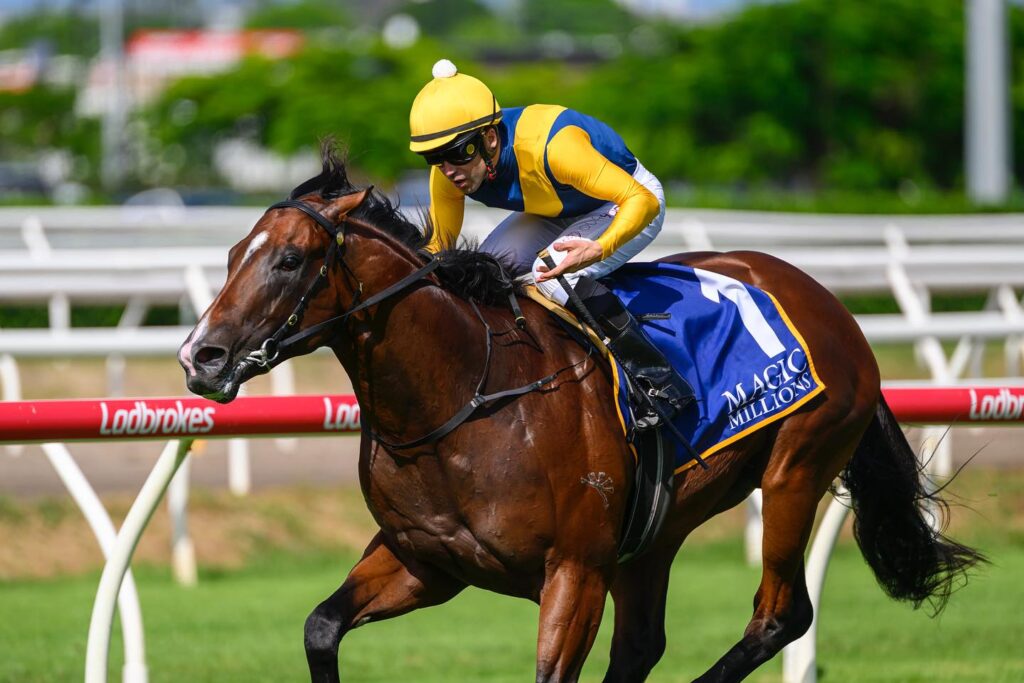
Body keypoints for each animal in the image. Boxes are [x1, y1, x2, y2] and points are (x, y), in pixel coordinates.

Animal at [178, 149, 984, 683]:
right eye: (233, 253)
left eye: (288, 260)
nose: (200, 357)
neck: (465, 396)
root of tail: (831, 306)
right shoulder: (426, 561)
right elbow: (321, 626)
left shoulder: (574, 570)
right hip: (656, 530)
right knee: (644, 643)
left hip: (796, 469)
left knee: (781, 613)